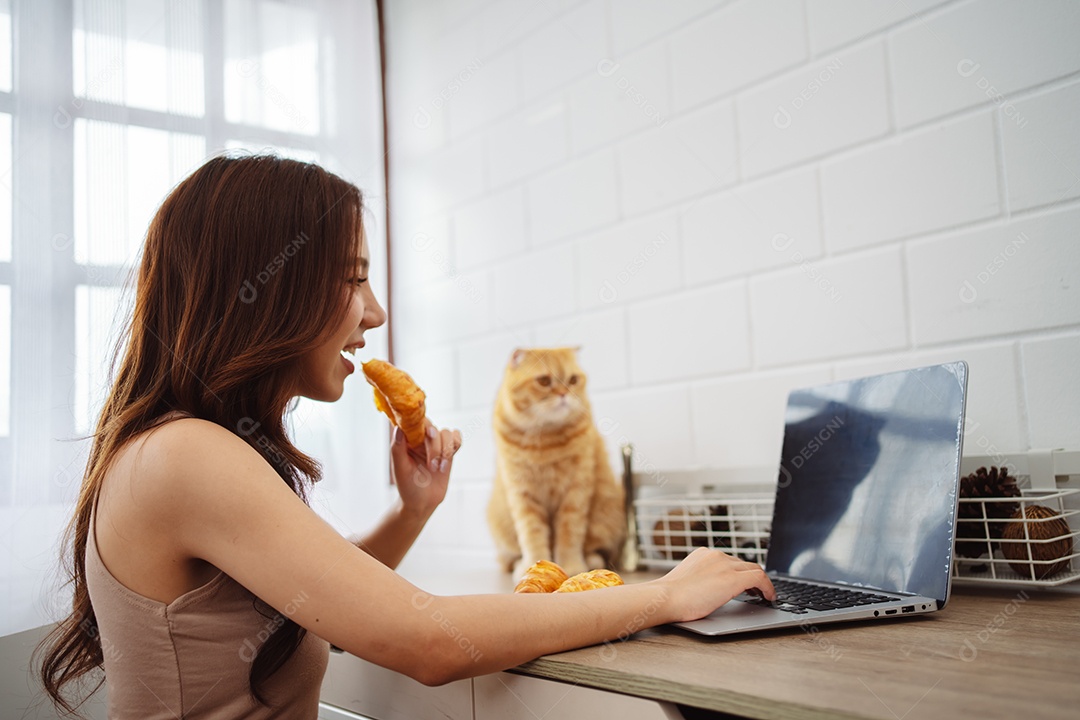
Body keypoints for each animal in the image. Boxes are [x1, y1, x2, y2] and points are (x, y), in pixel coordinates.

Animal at [488, 345, 630, 578]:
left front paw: (571, 566)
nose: (564, 394)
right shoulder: (522, 496)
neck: (546, 440)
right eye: (544, 381)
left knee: (596, 548)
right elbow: (532, 535)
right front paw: (532, 566)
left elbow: (570, 534)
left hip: (607, 515)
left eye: (573, 380)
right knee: (508, 559)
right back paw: (518, 564)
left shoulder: (576, 493)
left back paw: (591, 559)